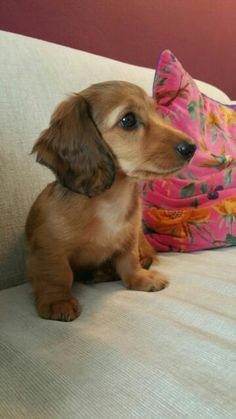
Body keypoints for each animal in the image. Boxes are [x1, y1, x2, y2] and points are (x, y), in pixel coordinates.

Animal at [24, 81, 196, 322]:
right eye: (128, 120)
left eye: (157, 112)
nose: (192, 148)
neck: (112, 199)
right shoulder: (49, 248)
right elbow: (57, 274)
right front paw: (57, 301)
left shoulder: (130, 237)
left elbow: (129, 261)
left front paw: (140, 279)